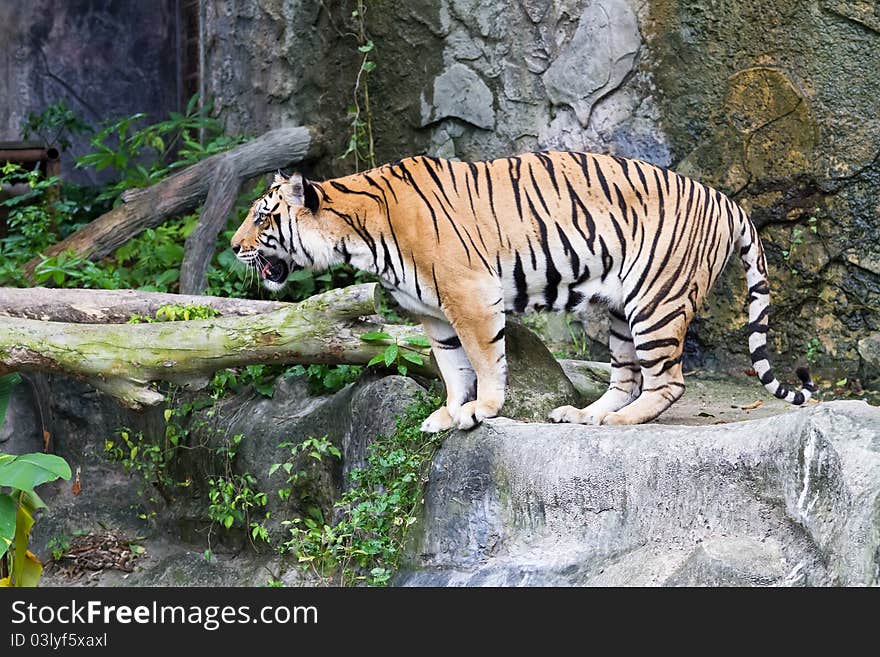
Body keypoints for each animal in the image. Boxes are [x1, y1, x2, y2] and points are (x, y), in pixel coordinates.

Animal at [230, 151, 816, 434]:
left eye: (262, 217)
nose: (234, 247)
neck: (357, 235)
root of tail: (728, 200)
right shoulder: (433, 315)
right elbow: (452, 368)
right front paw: (449, 413)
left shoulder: (470, 296)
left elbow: (485, 360)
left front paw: (483, 410)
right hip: (620, 309)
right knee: (626, 376)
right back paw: (586, 415)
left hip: (658, 301)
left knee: (668, 382)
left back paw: (618, 422)